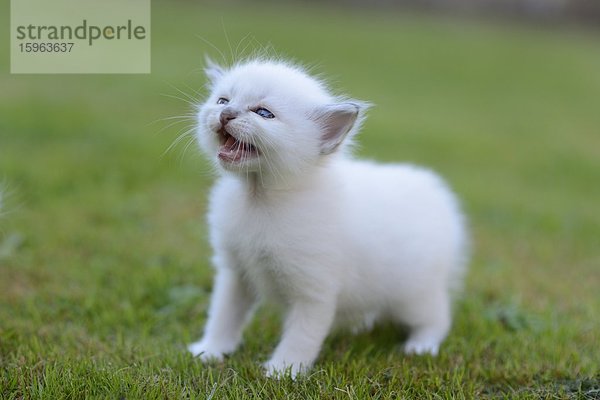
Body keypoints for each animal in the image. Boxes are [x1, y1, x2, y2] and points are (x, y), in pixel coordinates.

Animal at [188, 57, 468, 376]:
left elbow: (302, 336)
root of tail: (437, 194)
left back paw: (420, 347)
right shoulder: (235, 273)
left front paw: (282, 372)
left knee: (436, 318)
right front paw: (210, 351)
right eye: (223, 100)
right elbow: (223, 315)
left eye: (264, 113)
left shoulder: (313, 290)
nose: (225, 113)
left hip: (415, 293)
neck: (258, 198)